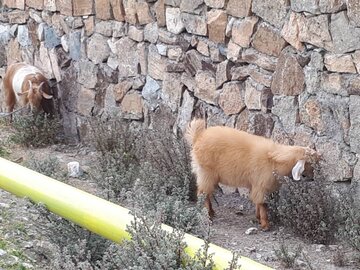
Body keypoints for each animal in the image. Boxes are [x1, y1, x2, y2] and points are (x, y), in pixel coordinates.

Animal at [187, 119, 320, 231]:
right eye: (310, 163)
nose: (314, 178)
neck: (273, 160)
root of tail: (198, 137)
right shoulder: (261, 185)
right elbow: (262, 203)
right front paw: (265, 224)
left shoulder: (256, 185)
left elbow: (257, 203)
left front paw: (257, 217)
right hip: (206, 172)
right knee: (202, 193)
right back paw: (208, 216)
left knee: (207, 193)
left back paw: (212, 212)